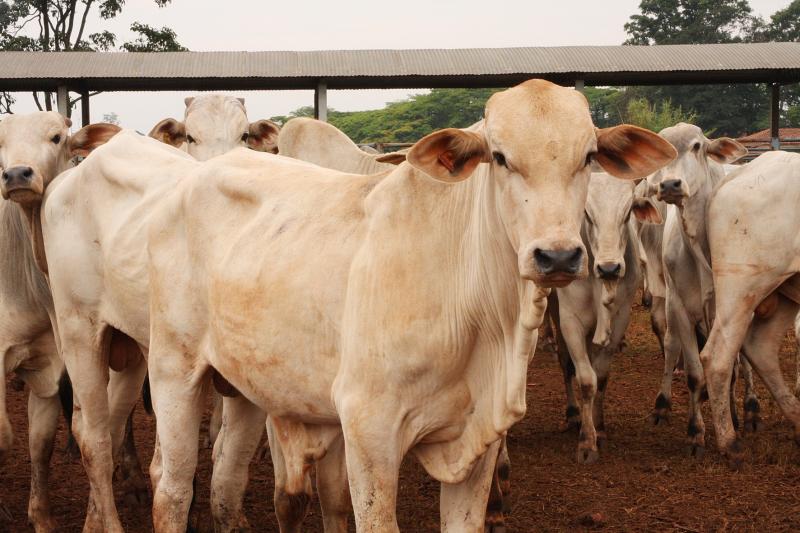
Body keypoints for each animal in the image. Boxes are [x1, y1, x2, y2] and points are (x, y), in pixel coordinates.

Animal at [552, 171, 660, 462]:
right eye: (587, 214)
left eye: (627, 213)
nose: (609, 268)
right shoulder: (570, 321)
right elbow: (585, 380)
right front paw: (586, 443)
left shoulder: (620, 318)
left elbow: (600, 376)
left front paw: (598, 428)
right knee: (565, 363)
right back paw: (573, 413)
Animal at [640, 122, 752, 456]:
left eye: (697, 146)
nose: (669, 185)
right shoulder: (679, 307)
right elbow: (694, 374)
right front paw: (696, 431)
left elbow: (731, 369)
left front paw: (732, 419)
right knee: (671, 345)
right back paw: (663, 405)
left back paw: (749, 409)